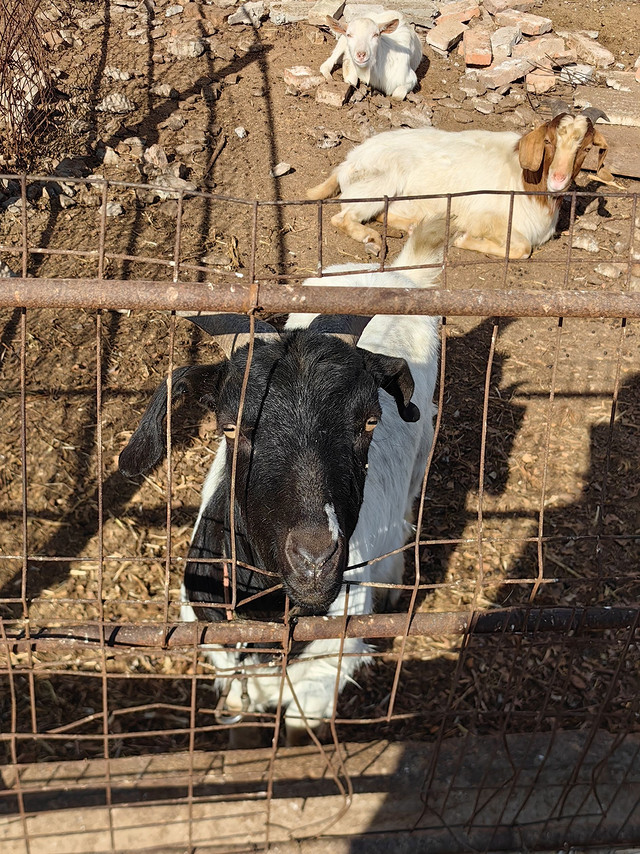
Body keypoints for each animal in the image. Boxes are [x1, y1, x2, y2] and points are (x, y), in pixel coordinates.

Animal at [308, 113, 608, 260]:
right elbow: (523, 248)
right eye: (548, 141)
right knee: (342, 217)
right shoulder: (486, 217)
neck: (527, 183)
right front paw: (464, 239)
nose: (558, 178)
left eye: (586, 148)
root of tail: (348, 162)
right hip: (378, 183)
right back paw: (370, 239)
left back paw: (412, 225)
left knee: (382, 213)